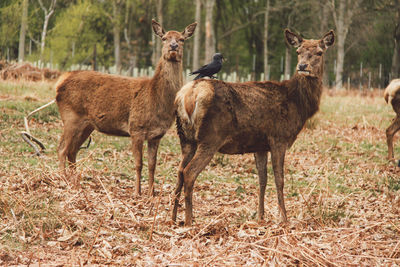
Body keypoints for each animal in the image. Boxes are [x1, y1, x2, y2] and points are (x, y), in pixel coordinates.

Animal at [55, 18, 196, 195]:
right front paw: (137, 192)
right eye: (164, 38)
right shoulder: (135, 128)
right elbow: (138, 164)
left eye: (182, 39)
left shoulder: (156, 135)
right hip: (71, 116)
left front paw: (151, 193)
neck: (156, 98)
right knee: (62, 148)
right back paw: (64, 181)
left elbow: (152, 165)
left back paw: (75, 181)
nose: (173, 46)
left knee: (72, 150)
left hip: (87, 124)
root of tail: (60, 81)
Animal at [172, 28, 334, 226]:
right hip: (210, 137)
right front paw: (284, 218)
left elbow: (262, 179)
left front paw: (261, 216)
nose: (303, 66)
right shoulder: (278, 138)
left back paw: (173, 218)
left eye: (319, 52)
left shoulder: (260, 145)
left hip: (186, 138)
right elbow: (279, 179)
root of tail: (188, 95)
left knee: (179, 171)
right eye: (298, 51)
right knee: (189, 173)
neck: (298, 103)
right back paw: (189, 221)